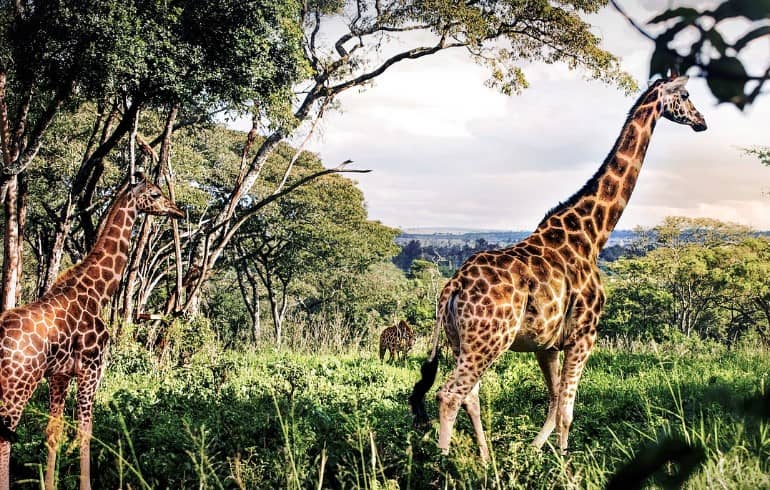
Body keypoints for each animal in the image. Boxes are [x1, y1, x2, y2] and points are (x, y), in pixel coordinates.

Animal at [0, 173, 183, 490]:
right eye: (156, 194)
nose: (178, 211)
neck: (98, 292)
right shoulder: (92, 368)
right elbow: (85, 432)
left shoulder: (59, 375)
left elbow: (54, 430)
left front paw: (50, 484)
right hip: (17, 386)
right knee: (4, 438)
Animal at [408, 73, 708, 460]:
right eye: (685, 95)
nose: (702, 121)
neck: (592, 234)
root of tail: (452, 287)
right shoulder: (585, 335)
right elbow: (567, 409)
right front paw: (564, 463)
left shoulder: (548, 344)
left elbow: (552, 402)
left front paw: (535, 452)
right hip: (489, 340)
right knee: (449, 394)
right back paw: (444, 463)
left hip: (460, 340)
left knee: (470, 396)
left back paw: (486, 460)